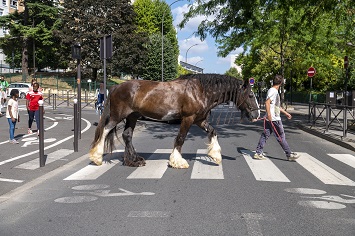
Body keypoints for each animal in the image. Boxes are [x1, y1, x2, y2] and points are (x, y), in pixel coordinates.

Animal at [90, 74, 260, 168]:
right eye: (251, 95)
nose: (257, 114)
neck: (200, 91)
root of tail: (116, 87)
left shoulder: (200, 120)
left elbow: (213, 131)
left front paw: (216, 156)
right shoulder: (188, 118)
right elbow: (180, 138)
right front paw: (177, 161)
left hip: (132, 116)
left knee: (127, 135)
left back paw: (133, 160)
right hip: (118, 116)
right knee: (105, 130)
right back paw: (97, 157)